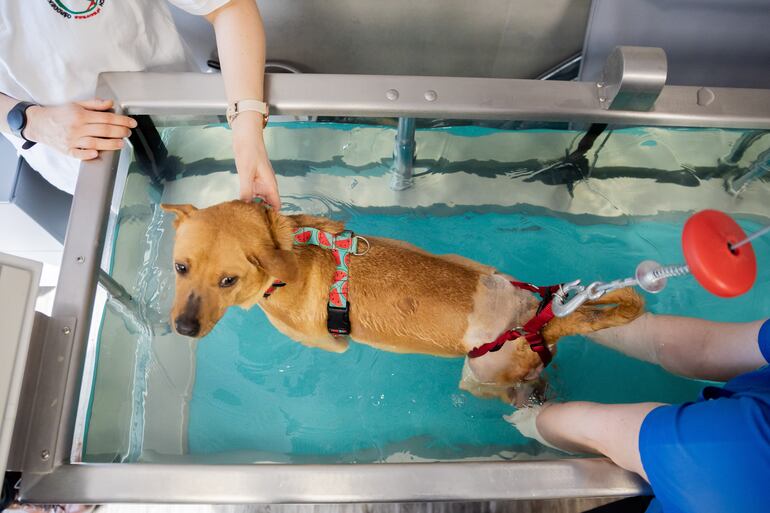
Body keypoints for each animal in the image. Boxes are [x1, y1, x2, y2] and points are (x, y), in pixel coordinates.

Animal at [162, 200, 640, 400]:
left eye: (228, 280)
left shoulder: (324, 341)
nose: (182, 328)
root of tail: (540, 319)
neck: (291, 249)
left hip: (480, 377)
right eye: (179, 268)